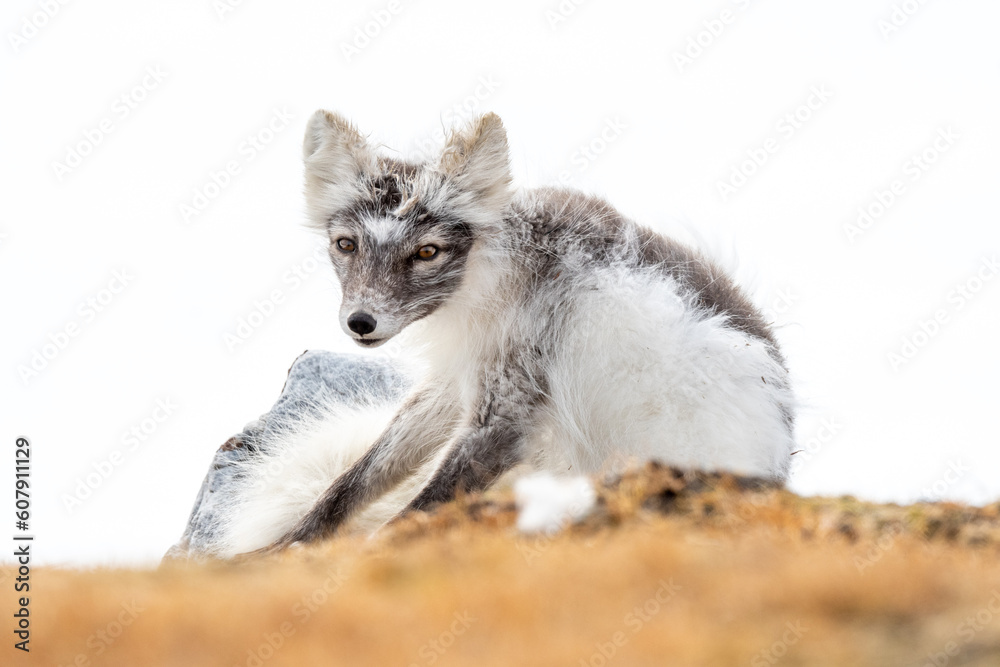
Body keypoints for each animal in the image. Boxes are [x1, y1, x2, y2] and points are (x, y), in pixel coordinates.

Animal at [217, 110, 795, 557]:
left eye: (427, 251)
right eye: (345, 245)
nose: (361, 323)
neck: (495, 273)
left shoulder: (510, 403)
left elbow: (418, 508)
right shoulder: (457, 379)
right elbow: (362, 474)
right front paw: (285, 547)